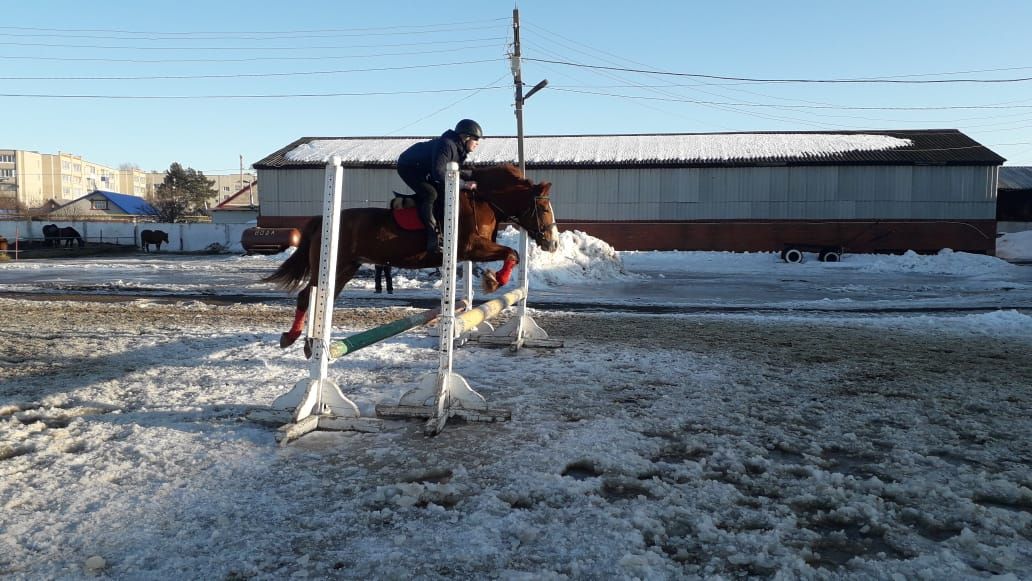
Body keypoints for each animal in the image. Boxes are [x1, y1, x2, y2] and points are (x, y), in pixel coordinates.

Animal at [262, 164, 561, 348]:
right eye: (545, 209)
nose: (553, 243)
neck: (485, 201)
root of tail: (321, 221)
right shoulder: (470, 247)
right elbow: (512, 253)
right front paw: (494, 280)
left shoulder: (473, 250)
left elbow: (513, 254)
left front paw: (492, 278)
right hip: (332, 267)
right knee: (307, 295)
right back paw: (294, 339)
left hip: (345, 269)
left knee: (324, 298)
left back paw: (310, 341)